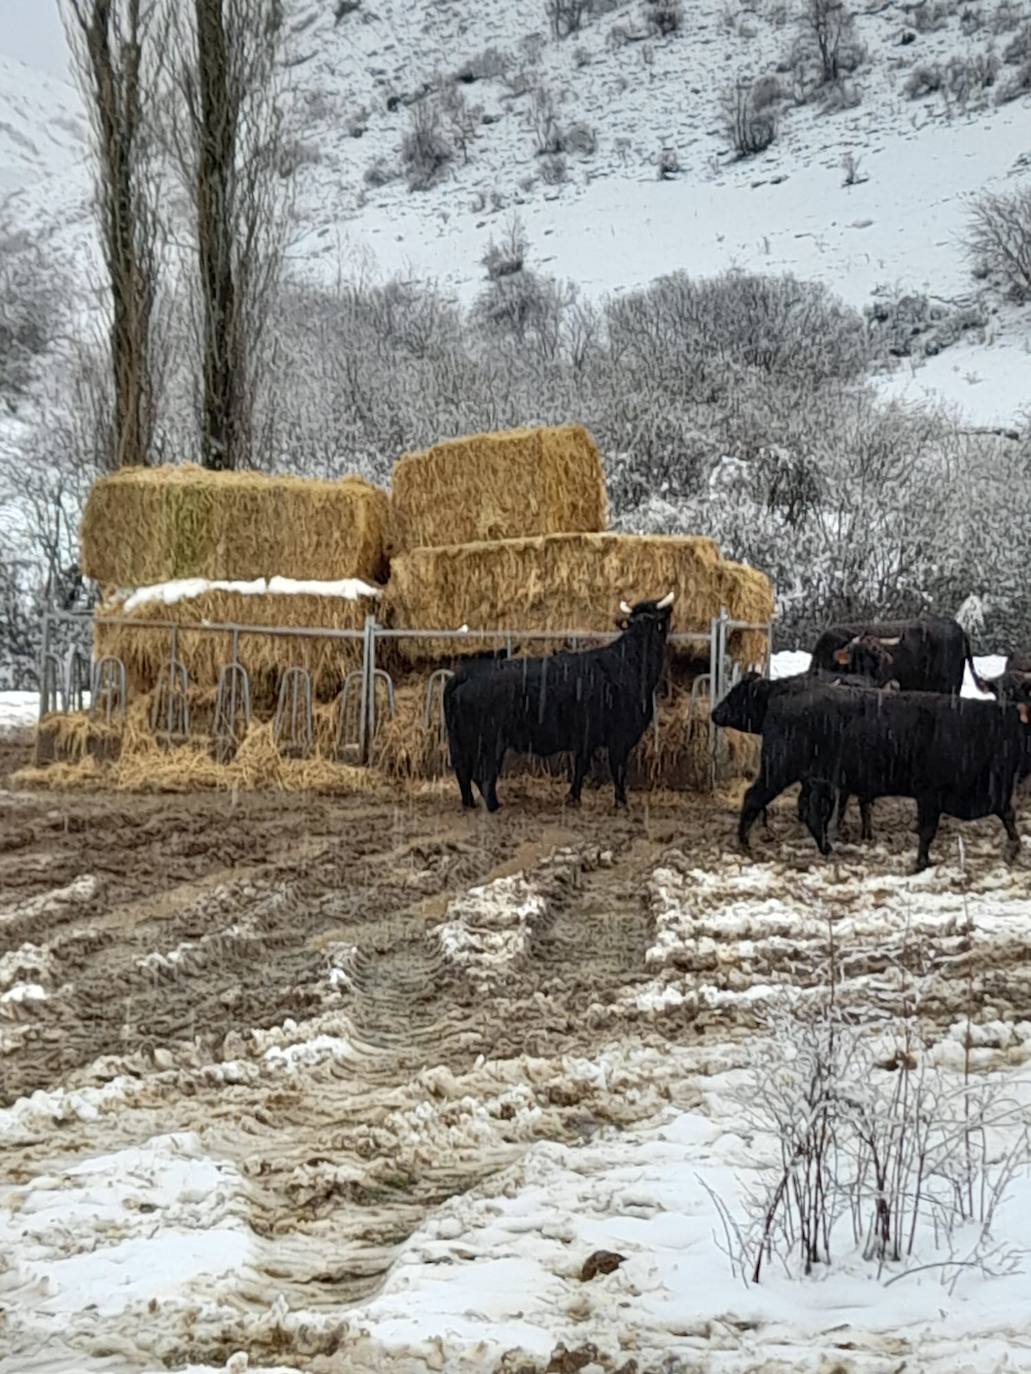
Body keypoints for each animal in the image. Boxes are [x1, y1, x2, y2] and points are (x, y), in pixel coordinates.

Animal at [445, 588, 679, 802]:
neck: (631, 661)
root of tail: (469, 672)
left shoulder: (587, 738)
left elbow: (581, 766)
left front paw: (573, 797)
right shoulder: (620, 736)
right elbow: (617, 770)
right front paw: (621, 801)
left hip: (463, 741)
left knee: (464, 772)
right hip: (489, 740)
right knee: (481, 774)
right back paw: (493, 805)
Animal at [736, 684, 1031, 868]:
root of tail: (783, 697)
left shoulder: (991, 794)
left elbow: (1007, 813)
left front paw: (1014, 848)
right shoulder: (929, 794)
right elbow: (927, 830)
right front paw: (921, 862)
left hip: (813, 780)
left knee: (811, 813)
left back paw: (826, 848)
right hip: (779, 770)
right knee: (753, 797)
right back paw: (744, 844)